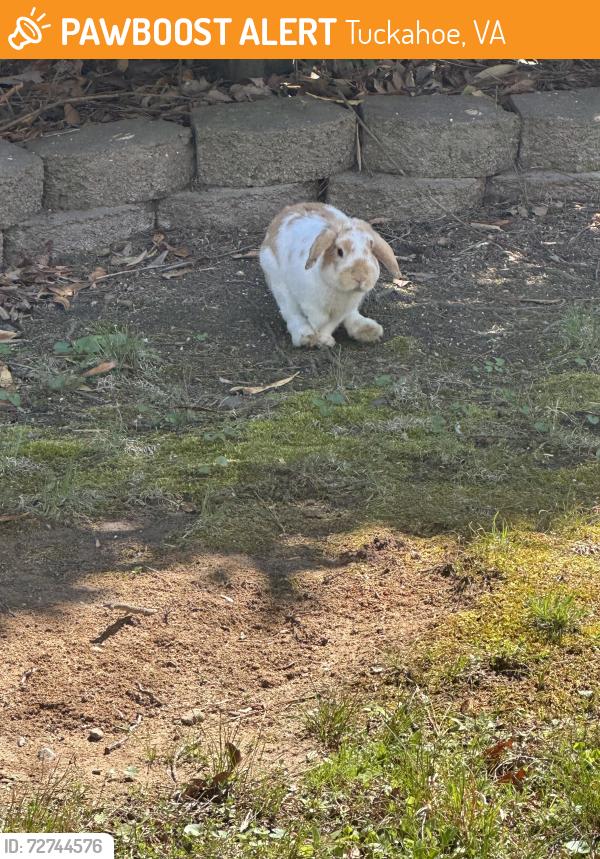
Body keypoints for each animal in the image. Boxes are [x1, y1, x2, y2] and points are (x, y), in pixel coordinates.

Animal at [259, 202, 401, 348]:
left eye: (371, 251)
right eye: (339, 251)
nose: (360, 277)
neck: (339, 290)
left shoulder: (341, 311)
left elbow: (331, 324)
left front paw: (324, 340)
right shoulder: (311, 305)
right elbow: (319, 321)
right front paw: (319, 339)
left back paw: (368, 330)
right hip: (278, 284)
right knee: (291, 313)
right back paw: (305, 337)